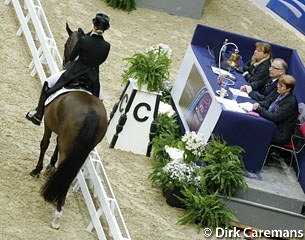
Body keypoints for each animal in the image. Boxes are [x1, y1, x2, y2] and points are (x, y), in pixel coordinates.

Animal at [30, 24, 107, 229]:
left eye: (66, 44)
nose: (66, 61)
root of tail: (92, 113)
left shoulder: (48, 124)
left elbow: (44, 144)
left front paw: (37, 170)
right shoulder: (63, 133)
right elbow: (55, 145)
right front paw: (50, 165)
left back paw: (57, 215)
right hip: (82, 148)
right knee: (69, 170)